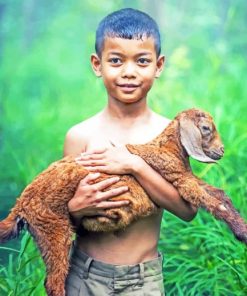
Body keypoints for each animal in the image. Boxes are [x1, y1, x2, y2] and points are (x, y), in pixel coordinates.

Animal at [0, 108, 247, 296]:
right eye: (206, 129)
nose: (221, 150)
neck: (168, 148)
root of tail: (20, 205)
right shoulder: (179, 179)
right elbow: (214, 203)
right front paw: (242, 232)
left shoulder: (187, 177)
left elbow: (220, 194)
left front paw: (241, 229)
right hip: (53, 228)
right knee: (54, 281)